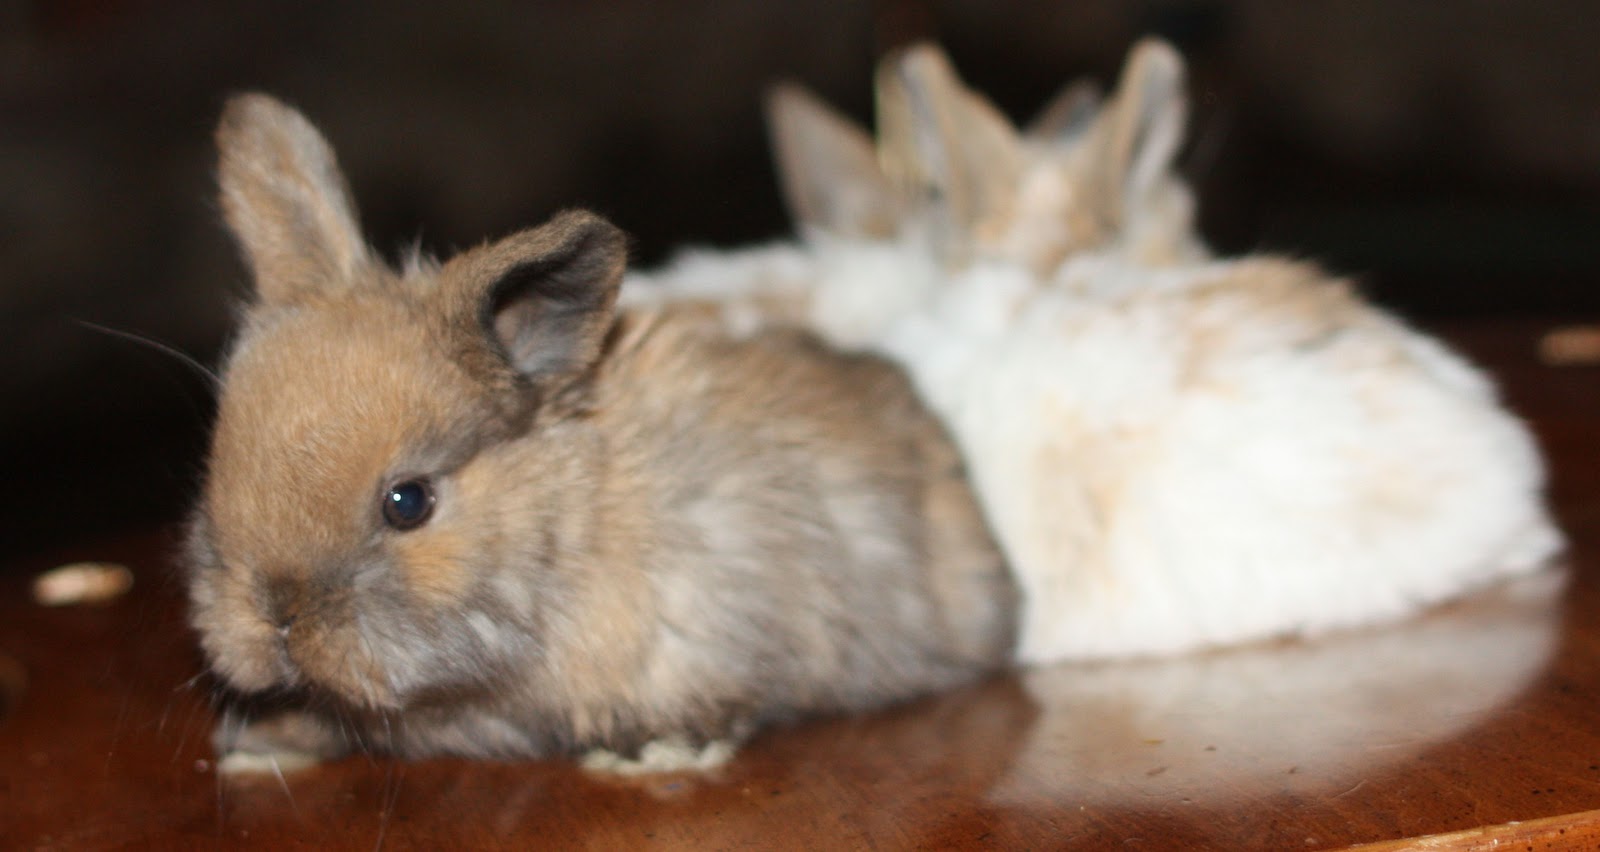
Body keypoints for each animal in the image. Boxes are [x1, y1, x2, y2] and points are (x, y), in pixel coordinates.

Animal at [185, 93, 1017, 772]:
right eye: (217, 467)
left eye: (408, 502)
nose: (275, 617)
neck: (565, 529)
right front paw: (259, 738)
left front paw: (657, 752)